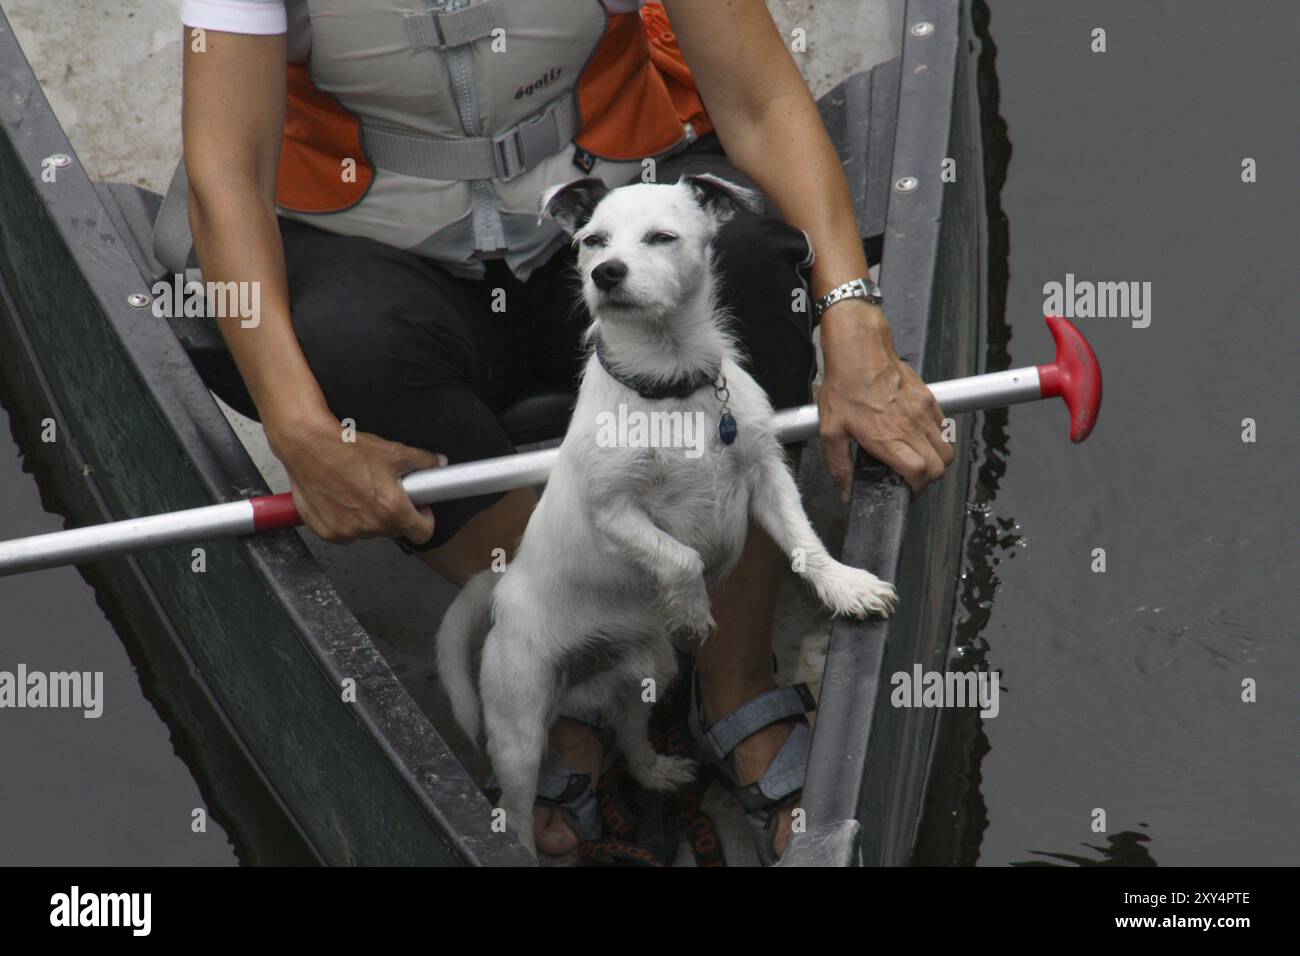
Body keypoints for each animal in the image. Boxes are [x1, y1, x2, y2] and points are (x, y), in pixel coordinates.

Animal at [436, 174, 894, 858]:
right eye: (592, 241)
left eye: (661, 237)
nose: (607, 273)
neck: (669, 382)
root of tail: (503, 588)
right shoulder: (613, 510)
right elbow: (678, 556)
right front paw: (695, 607)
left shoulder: (766, 474)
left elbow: (803, 543)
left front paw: (845, 586)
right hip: (519, 723)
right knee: (515, 812)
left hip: (642, 677)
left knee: (629, 732)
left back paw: (655, 772)